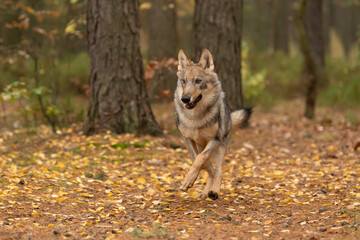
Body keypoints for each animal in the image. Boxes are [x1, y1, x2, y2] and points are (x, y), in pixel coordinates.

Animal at [174, 47, 250, 200]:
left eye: (198, 81)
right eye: (184, 81)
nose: (185, 99)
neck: (196, 117)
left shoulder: (215, 139)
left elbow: (201, 159)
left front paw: (190, 180)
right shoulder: (187, 139)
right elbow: (199, 160)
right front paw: (190, 180)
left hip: (222, 145)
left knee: (220, 169)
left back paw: (214, 191)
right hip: (202, 144)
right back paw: (206, 191)